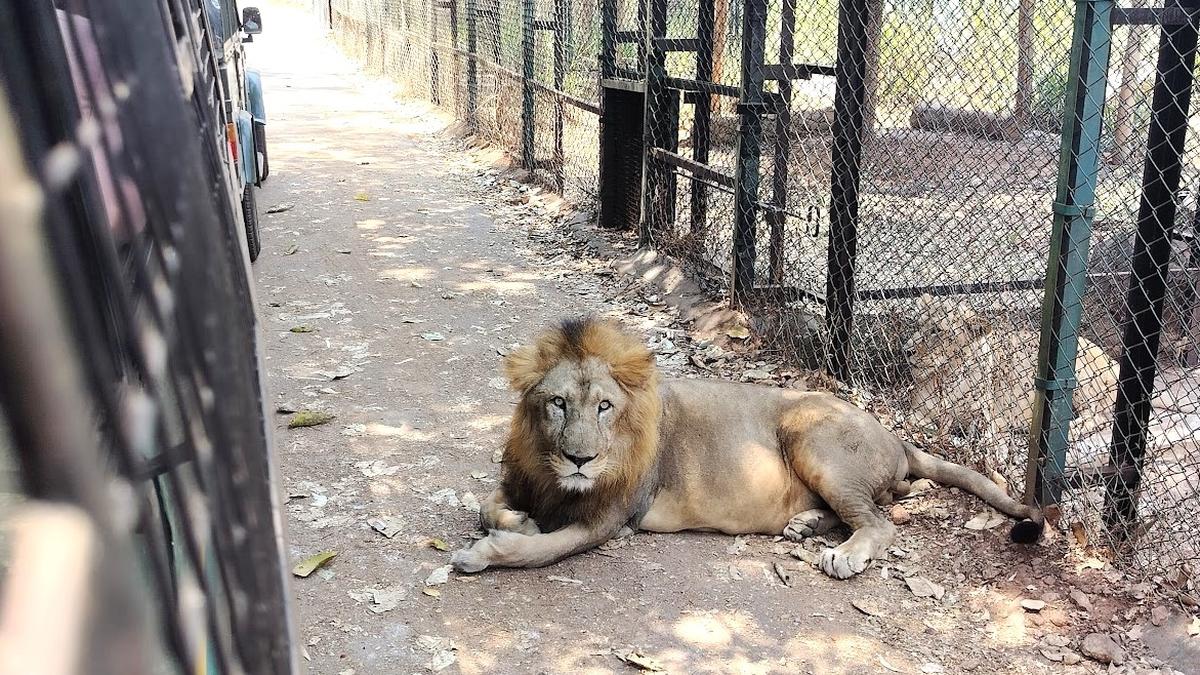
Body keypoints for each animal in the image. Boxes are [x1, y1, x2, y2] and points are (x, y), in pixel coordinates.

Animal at [450, 317, 1042, 579]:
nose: (580, 459)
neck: (552, 472)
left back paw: (842, 554)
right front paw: (519, 519)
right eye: (557, 404)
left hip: (811, 433)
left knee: (879, 522)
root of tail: (898, 438)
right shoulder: (522, 479)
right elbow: (488, 506)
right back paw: (805, 525)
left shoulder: (611, 519)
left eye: (604, 407)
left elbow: (539, 551)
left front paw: (483, 553)